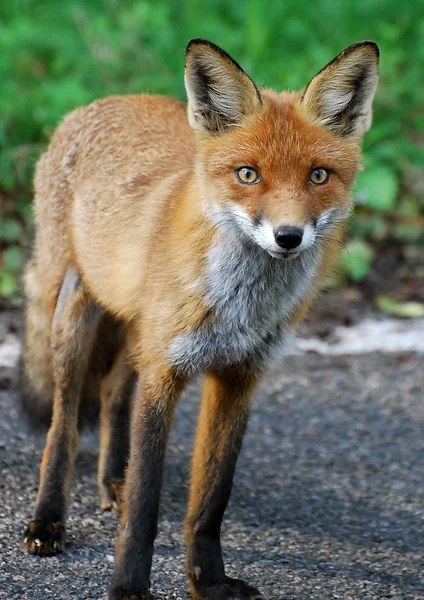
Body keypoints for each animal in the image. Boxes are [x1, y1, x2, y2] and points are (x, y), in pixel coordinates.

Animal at [19, 38, 380, 600]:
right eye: (248, 174)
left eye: (318, 175)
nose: (288, 236)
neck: (241, 308)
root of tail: (106, 99)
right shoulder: (165, 374)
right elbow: (145, 502)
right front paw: (129, 587)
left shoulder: (239, 377)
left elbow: (211, 498)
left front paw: (207, 581)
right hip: (76, 316)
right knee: (64, 427)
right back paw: (47, 520)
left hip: (140, 335)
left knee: (113, 393)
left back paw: (111, 478)